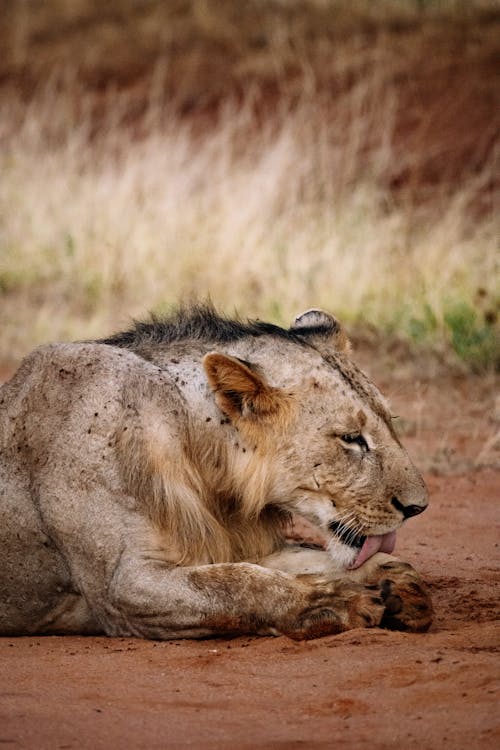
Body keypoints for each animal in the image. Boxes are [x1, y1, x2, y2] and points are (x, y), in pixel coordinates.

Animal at [0, 306, 432, 640]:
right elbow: (238, 584)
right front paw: (333, 602)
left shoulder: (236, 544)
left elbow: (301, 560)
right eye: (351, 439)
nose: (418, 508)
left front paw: (398, 582)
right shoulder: (121, 587)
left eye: (389, 421)